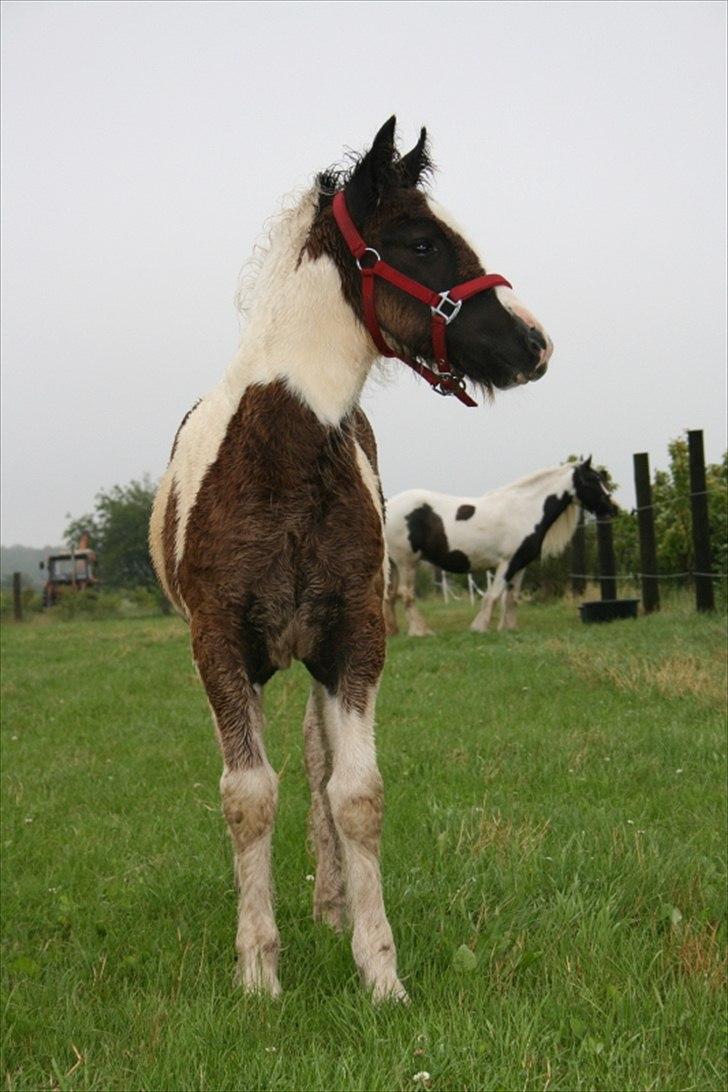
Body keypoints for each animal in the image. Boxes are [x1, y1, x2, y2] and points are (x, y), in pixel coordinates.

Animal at [150, 117, 554, 1000]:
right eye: (421, 241)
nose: (535, 343)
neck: (282, 457)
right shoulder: (219, 645)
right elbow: (247, 797)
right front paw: (258, 975)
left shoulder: (355, 638)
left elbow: (356, 793)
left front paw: (380, 975)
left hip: (314, 656)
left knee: (316, 760)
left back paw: (331, 905)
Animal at [386, 456, 615, 637]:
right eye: (591, 480)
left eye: (601, 479)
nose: (612, 509)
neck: (525, 510)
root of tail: (387, 506)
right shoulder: (507, 562)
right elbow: (494, 595)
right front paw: (480, 627)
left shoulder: (521, 564)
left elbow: (512, 598)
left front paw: (509, 629)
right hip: (406, 562)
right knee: (406, 594)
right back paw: (420, 631)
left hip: (394, 564)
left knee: (390, 595)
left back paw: (393, 632)